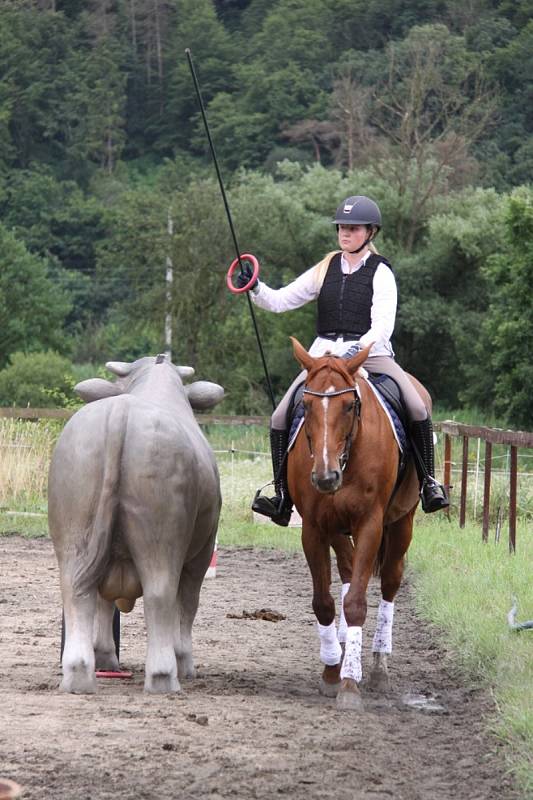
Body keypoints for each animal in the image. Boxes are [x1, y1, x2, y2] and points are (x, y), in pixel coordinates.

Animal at [47, 354, 222, 692]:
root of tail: (121, 410)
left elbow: (104, 605)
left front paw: (105, 657)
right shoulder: (203, 551)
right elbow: (187, 605)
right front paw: (185, 662)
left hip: (75, 535)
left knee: (77, 592)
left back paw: (78, 673)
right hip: (161, 539)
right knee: (161, 594)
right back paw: (164, 676)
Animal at [286, 334, 428, 708]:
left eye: (349, 406)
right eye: (306, 405)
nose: (325, 477)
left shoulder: (370, 524)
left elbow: (357, 603)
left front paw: (350, 683)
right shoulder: (314, 528)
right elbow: (324, 603)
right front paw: (332, 671)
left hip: (402, 523)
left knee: (390, 581)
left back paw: (378, 664)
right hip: (338, 528)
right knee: (350, 570)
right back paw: (345, 645)